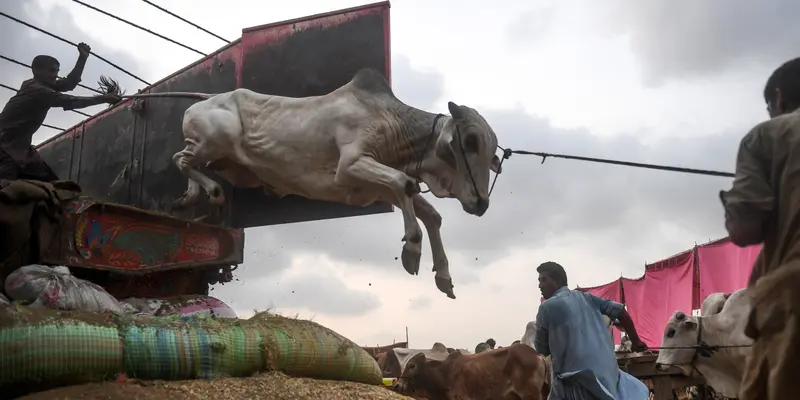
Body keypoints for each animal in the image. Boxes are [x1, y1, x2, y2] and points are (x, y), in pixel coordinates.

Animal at [100, 68, 500, 300]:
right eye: (469, 142)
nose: (481, 203)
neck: (392, 124)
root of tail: (206, 98)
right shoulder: (352, 166)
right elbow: (405, 185)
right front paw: (412, 251)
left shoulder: (375, 185)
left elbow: (429, 211)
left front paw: (444, 277)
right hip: (210, 141)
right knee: (180, 159)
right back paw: (204, 194)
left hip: (217, 155)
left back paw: (192, 198)